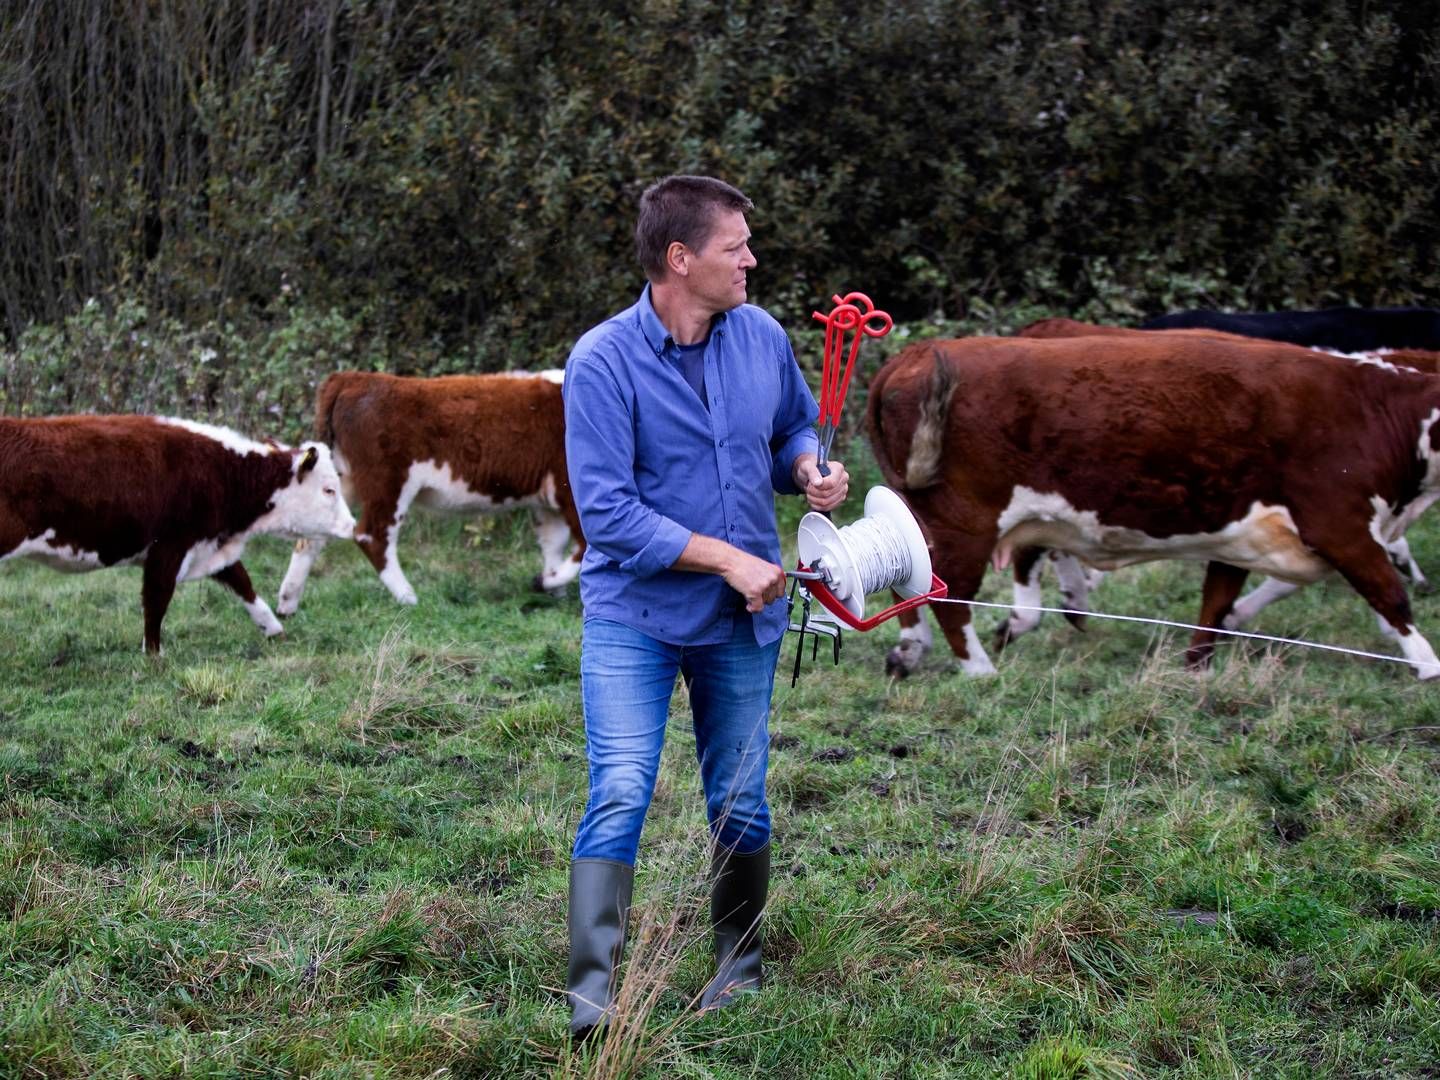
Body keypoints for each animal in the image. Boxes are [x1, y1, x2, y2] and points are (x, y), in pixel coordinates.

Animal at [1, 414, 355, 650]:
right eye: (329, 490)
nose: (352, 526)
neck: (219, 471)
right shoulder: (169, 547)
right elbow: (156, 601)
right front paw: (153, 656)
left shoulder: (210, 545)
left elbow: (243, 583)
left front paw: (272, 628)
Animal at [275, 371, 578, 616]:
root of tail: (352, 378)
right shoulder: (569, 491)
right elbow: (580, 549)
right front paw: (546, 583)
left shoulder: (547, 499)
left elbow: (554, 544)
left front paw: (555, 593)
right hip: (389, 482)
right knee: (371, 536)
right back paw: (408, 598)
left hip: (340, 483)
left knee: (310, 539)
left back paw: (287, 604)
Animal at [869, 334, 1440, 679]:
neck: (1375, 411)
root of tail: (917, 353)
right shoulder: (1341, 524)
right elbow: (1391, 595)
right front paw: (1429, 667)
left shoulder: (1245, 536)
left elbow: (1217, 604)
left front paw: (1197, 665)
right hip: (966, 520)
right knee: (949, 598)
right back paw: (979, 668)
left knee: (908, 587)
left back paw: (911, 652)